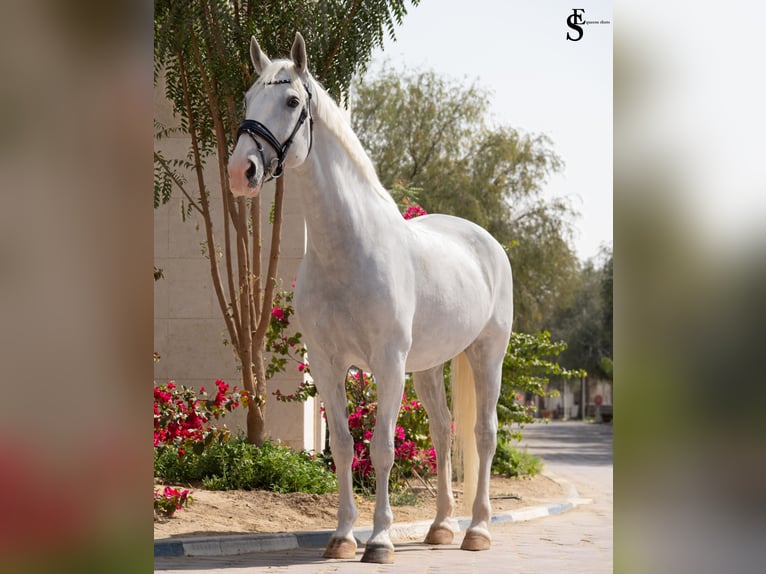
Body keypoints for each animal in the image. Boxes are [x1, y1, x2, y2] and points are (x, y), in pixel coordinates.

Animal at [228, 32, 513, 564]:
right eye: (247, 99)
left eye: (292, 100)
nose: (242, 170)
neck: (347, 250)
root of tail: (486, 243)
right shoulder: (326, 363)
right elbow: (342, 446)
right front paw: (342, 537)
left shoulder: (387, 363)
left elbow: (381, 448)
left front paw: (379, 540)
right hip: (428, 367)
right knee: (444, 430)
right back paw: (441, 527)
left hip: (487, 353)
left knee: (484, 434)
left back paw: (478, 531)